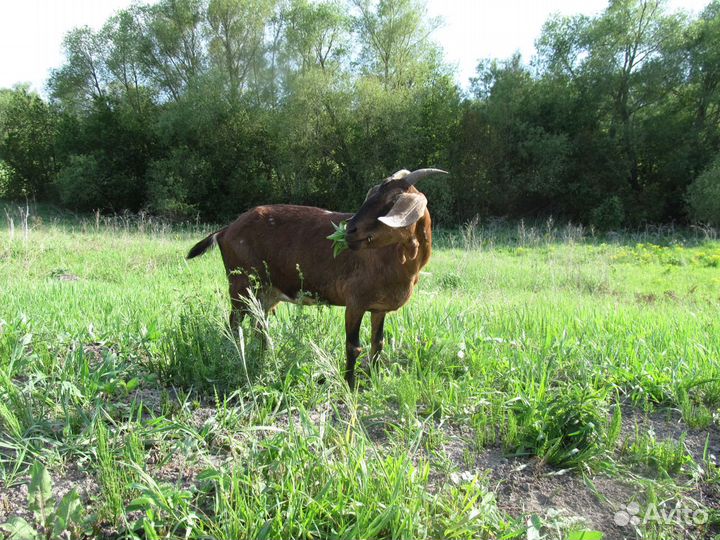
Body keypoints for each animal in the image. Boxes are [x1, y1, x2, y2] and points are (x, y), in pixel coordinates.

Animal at [183, 168, 448, 384]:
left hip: (266, 292)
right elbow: (353, 346)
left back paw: (265, 358)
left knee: (260, 325)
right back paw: (237, 357)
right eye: (372, 195)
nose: (349, 230)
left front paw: (373, 380)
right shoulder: (355, 301)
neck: (396, 261)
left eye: (392, 201)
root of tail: (226, 230)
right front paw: (349, 385)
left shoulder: (378, 308)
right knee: (234, 323)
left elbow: (378, 344)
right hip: (242, 284)